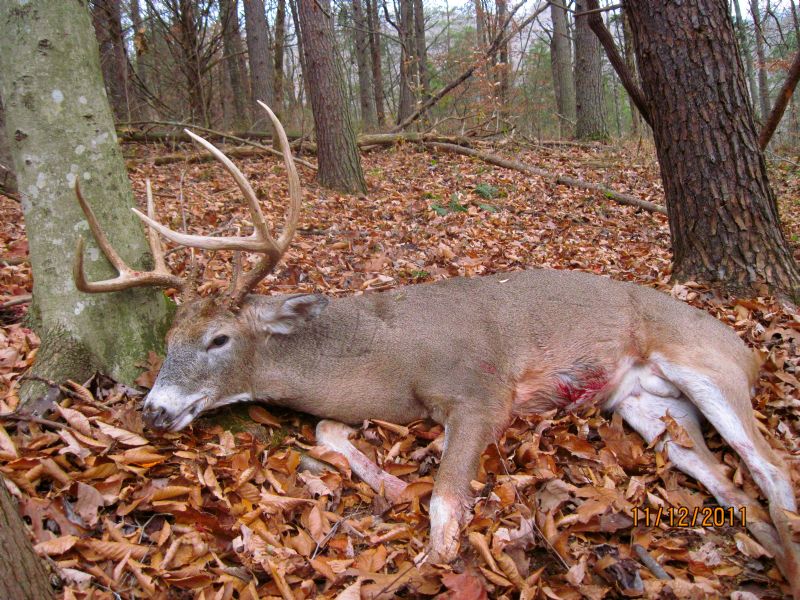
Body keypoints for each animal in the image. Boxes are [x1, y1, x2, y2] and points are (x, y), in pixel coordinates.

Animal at [72, 103, 800, 596]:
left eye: (218, 339)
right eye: (168, 339)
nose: (154, 410)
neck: (383, 353)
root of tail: (751, 348)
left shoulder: (482, 391)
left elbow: (446, 509)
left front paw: (427, 557)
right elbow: (331, 434)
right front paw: (391, 480)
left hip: (704, 365)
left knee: (772, 469)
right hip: (647, 404)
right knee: (726, 479)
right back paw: (766, 546)